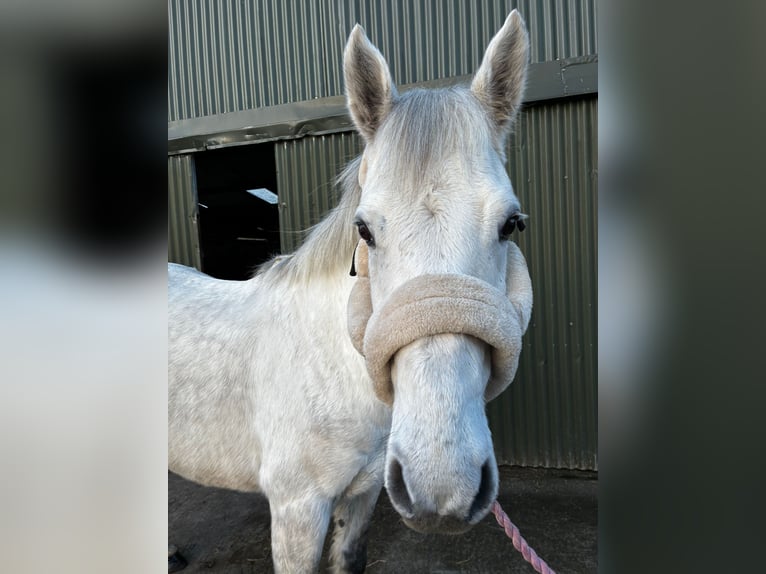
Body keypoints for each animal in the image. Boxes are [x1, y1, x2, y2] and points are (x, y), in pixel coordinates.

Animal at [169, 10, 532, 573]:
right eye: (364, 229)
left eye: (511, 223)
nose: (442, 486)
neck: (328, 363)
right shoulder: (297, 512)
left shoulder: (364, 494)